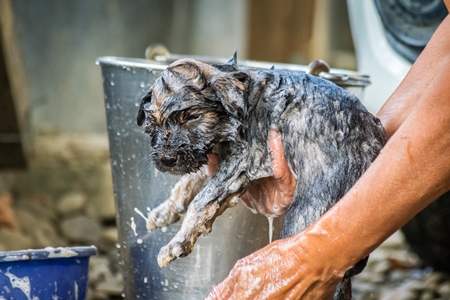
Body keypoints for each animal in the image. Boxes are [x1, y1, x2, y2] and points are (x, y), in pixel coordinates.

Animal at [137, 54, 386, 298]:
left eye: (193, 116)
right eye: (153, 123)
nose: (166, 160)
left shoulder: (243, 159)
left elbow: (201, 200)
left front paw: (177, 243)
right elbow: (190, 180)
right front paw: (165, 211)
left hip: (309, 215)